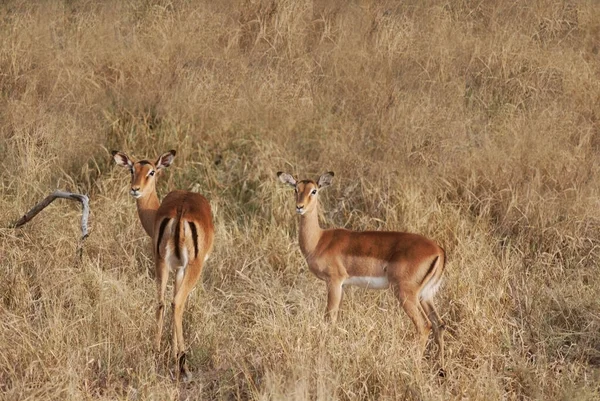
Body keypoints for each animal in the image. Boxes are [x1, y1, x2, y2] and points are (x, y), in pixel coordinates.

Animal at [113, 148, 216, 380]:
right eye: (132, 169)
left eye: (151, 172)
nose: (135, 189)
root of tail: (180, 211)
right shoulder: (182, 268)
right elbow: (176, 302)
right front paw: (176, 353)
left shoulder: (174, 267)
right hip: (193, 268)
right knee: (177, 303)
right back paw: (183, 364)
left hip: (160, 262)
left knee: (160, 302)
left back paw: (156, 351)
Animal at [278, 170, 442, 368]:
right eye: (296, 188)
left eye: (314, 190)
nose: (299, 207)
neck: (319, 241)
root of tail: (439, 251)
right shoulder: (342, 286)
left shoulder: (334, 282)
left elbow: (329, 319)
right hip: (426, 295)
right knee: (439, 324)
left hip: (405, 294)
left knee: (424, 326)